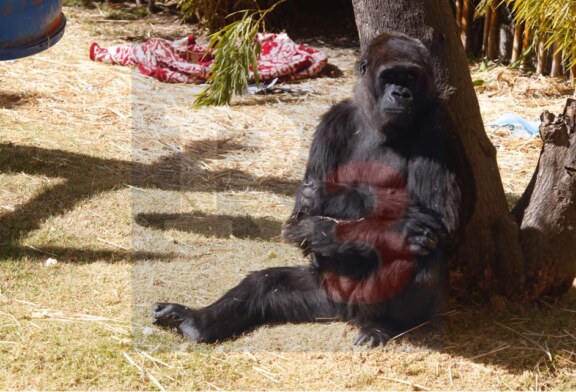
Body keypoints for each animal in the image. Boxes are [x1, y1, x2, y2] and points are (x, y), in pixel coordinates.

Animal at [151, 32, 474, 348]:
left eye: (410, 76)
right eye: (390, 76)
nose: (401, 94)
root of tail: (345, 312)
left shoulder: (438, 127)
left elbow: (440, 218)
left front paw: (331, 208)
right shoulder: (331, 122)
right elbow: (299, 216)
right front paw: (320, 216)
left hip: (361, 303)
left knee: (421, 248)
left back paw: (384, 324)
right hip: (324, 295)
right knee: (266, 284)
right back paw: (197, 321)